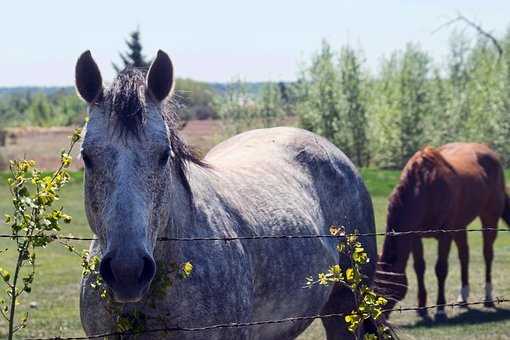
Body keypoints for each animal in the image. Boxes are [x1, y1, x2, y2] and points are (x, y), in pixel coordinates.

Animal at [374, 143, 510, 322]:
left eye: (385, 291)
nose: (374, 320)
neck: (425, 187)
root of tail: (487, 150)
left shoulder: (445, 235)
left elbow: (441, 269)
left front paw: (440, 309)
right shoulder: (415, 236)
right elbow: (419, 267)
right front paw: (422, 309)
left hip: (490, 217)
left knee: (488, 254)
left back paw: (488, 298)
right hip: (460, 225)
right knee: (464, 255)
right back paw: (462, 298)